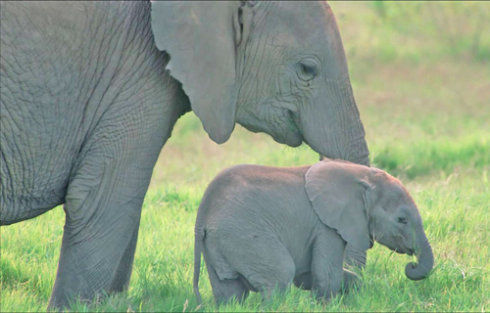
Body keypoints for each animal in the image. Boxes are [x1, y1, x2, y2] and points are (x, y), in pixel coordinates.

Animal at [193, 158, 434, 302]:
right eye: (402, 220)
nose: (411, 265)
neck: (361, 176)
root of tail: (203, 213)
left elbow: (312, 276)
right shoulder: (326, 226)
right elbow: (326, 276)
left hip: (218, 243)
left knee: (229, 292)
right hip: (242, 235)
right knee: (279, 276)